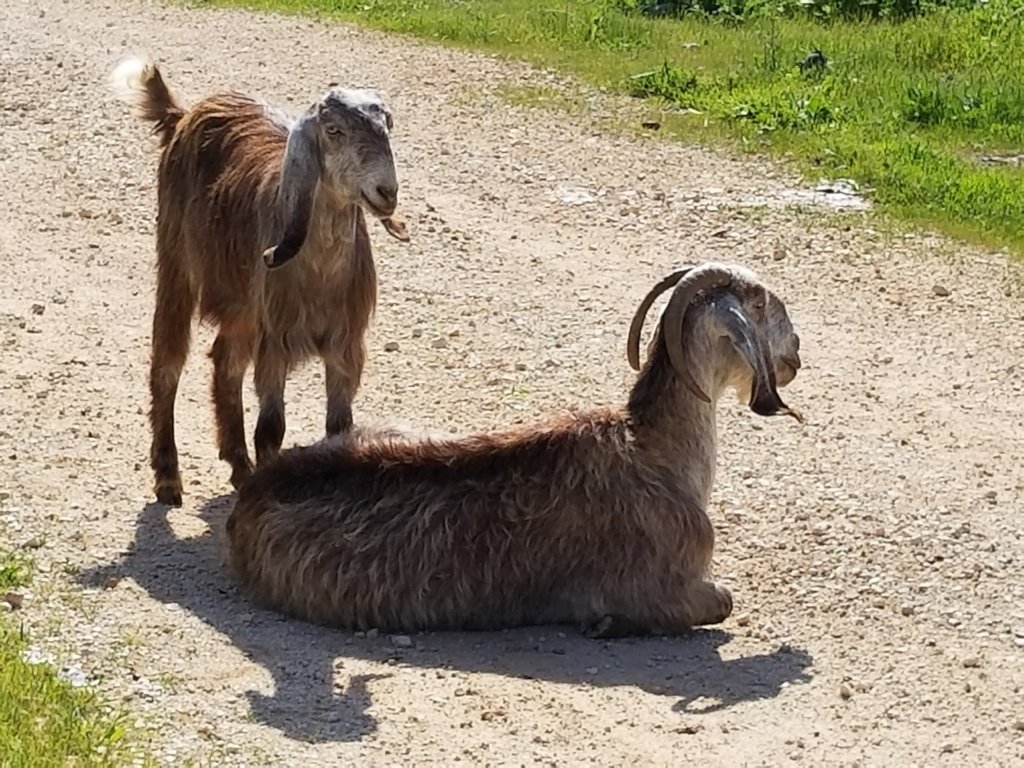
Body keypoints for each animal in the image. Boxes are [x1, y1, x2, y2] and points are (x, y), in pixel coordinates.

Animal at [109, 55, 410, 506]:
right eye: (333, 131)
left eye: (387, 124)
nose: (386, 192)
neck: (319, 276)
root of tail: (183, 113)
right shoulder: (276, 343)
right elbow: (271, 430)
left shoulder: (346, 344)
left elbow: (340, 430)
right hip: (176, 262)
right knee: (168, 362)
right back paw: (168, 478)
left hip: (244, 307)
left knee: (225, 360)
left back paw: (237, 463)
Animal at [225, 262, 804, 637]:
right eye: (758, 303)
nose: (795, 353)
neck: (654, 449)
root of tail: (254, 493)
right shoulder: (664, 582)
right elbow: (721, 602)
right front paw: (606, 623)